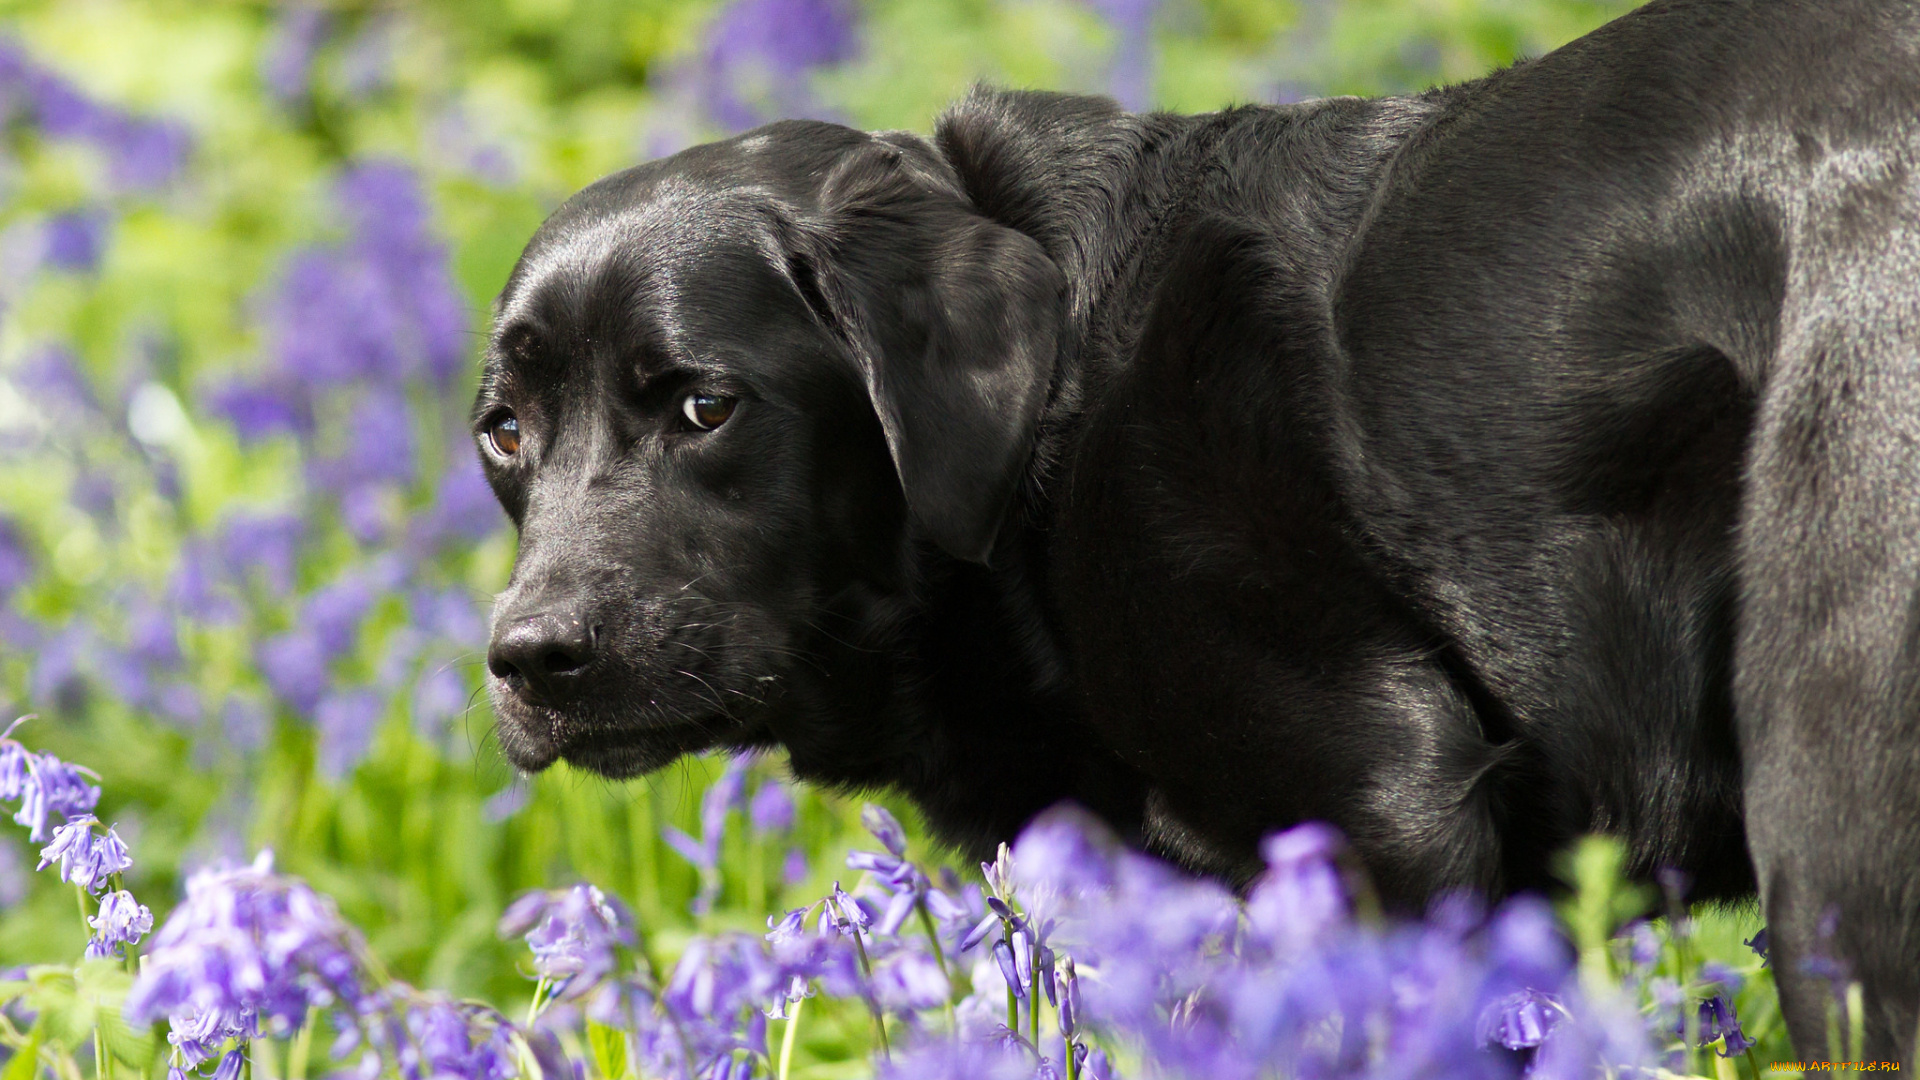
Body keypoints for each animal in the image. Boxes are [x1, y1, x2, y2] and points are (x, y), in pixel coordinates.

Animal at [476, 0, 1920, 1053]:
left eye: (704, 404)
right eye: (501, 432)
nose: (530, 660)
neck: (1050, 426)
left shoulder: (1388, 811)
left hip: (1828, 832)